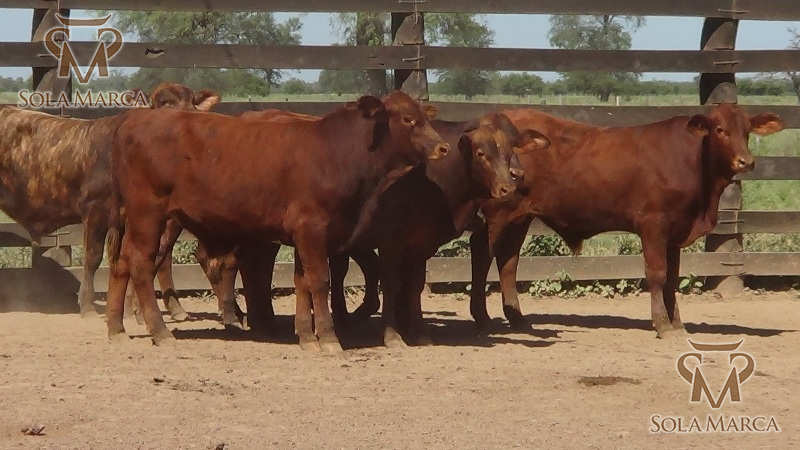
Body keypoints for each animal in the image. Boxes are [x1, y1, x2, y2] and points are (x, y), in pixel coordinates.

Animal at [0, 83, 219, 319]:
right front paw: (87, 305)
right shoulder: (95, 209)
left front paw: (127, 311)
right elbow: (93, 257)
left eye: (189, 107)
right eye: (160, 106)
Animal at [104, 91, 450, 352]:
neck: (334, 152)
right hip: (149, 214)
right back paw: (160, 331)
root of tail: (133, 120)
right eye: (408, 119)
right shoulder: (312, 229)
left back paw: (116, 328)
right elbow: (320, 281)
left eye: (425, 116)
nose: (443, 146)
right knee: (140, 263)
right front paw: (328, 338)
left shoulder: (303, 234)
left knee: (121, 263)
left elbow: (302, 282)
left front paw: (307, 335)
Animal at [467, 103, 784, 339]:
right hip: (498, 212)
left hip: (519, 217)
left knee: (508, 261)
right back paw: (482, 317)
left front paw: (678, 324)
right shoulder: (654, 224)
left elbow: (672, 279)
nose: (746, 161)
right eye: (720, 130)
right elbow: (658, 275)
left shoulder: (676, 231)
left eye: (747, 130)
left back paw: (518, 318)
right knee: (482, 254)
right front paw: (662, 325)